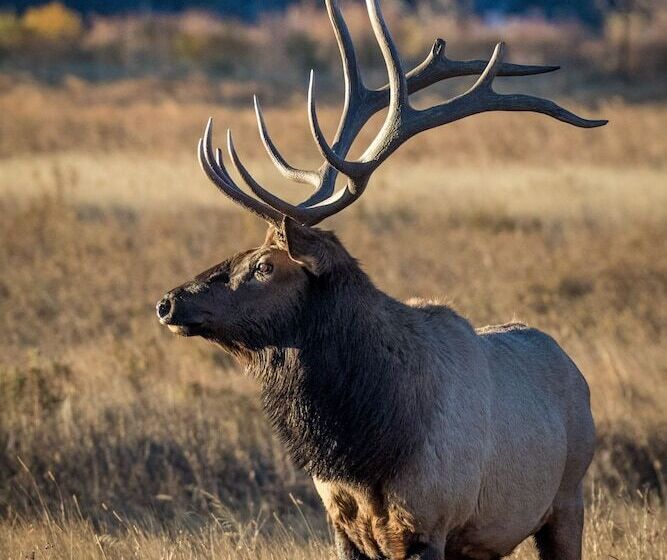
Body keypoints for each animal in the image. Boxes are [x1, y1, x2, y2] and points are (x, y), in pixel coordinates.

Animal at [156, 1, 606, 558]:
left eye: (265, 266)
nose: (168, 302)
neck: (367, 449)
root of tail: (577, 375)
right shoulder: (342, 525)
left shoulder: (430, 523)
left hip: (567, 497)